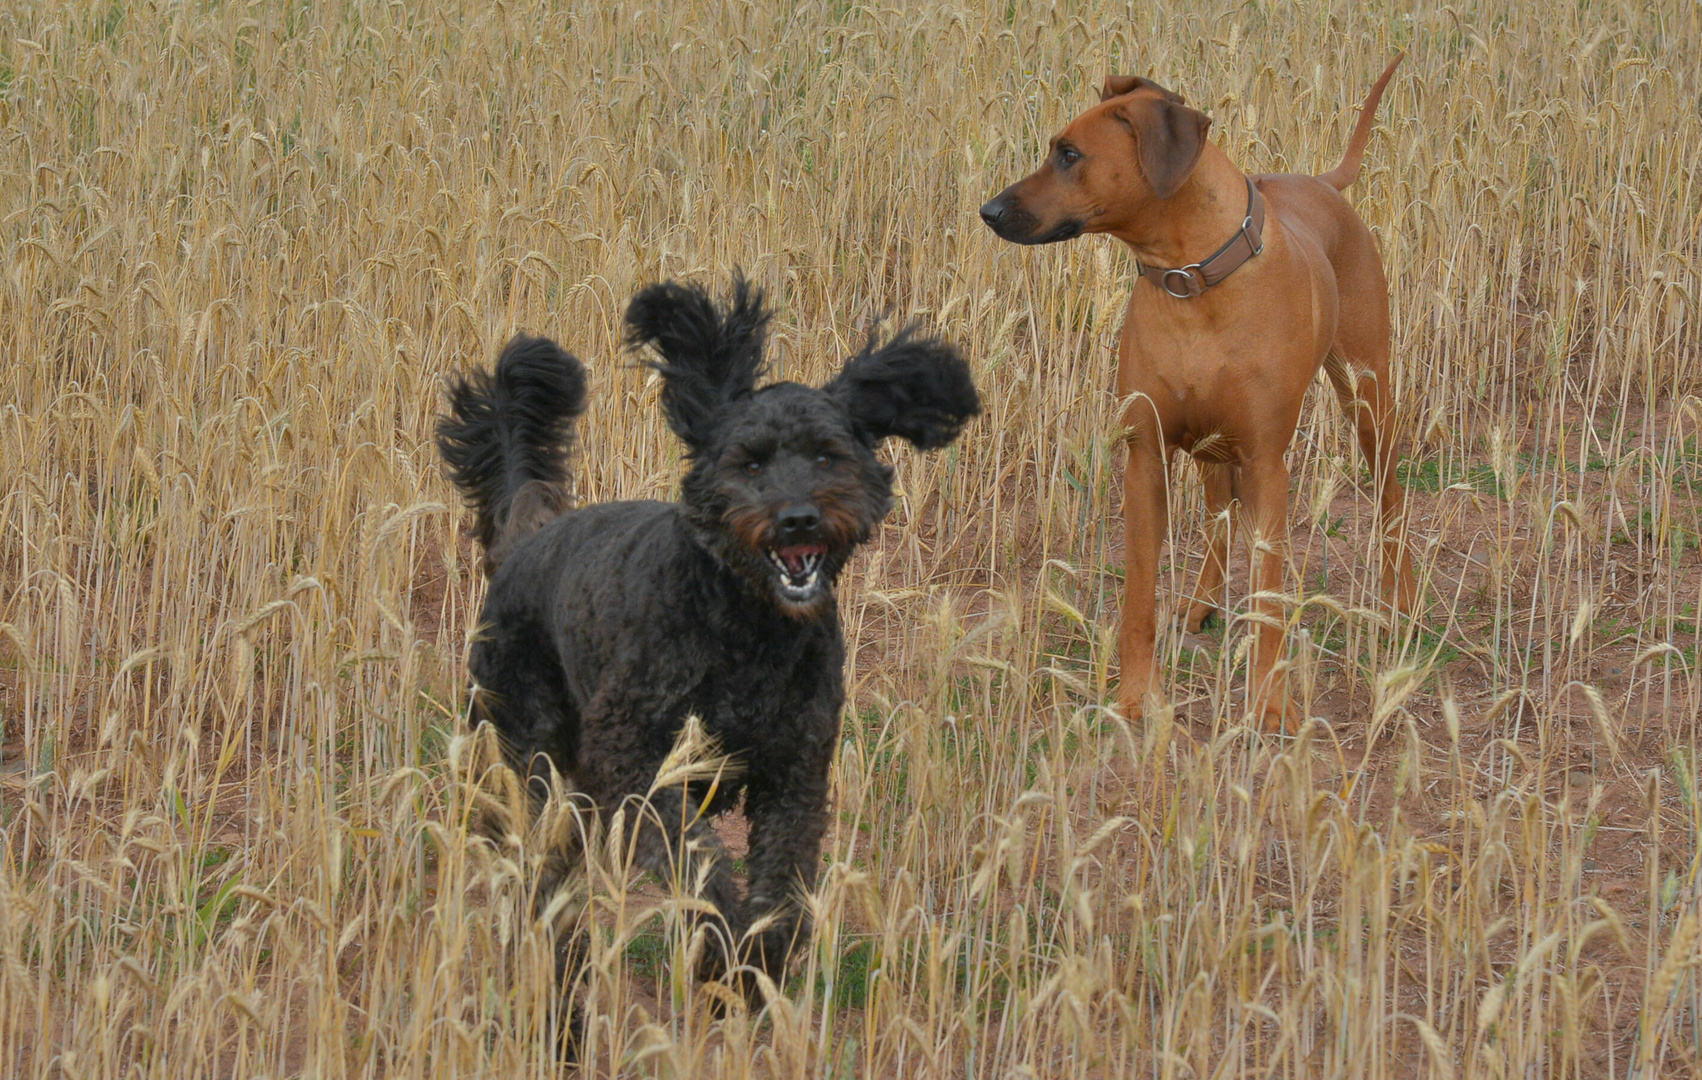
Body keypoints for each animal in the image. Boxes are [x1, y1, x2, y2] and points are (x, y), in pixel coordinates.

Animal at [432, 273, 980, 1006]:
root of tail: (526, 536)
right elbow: (699, 862)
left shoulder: (794, 768)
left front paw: (760, 959)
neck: (749, 630)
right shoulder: (636, 756)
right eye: (749, 464)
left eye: (826, 456)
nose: (797, 518)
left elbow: (782, 876)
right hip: (526, 747)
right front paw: (724, 941)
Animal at [980, 61, 1416, 734]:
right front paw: (1136, 697)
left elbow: (1267, 598)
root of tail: (1321, 182)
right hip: (1214, 443)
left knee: (1390, 494)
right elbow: (1138, 598)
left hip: (1368, 395)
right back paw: (1203, 599)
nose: (989, 210)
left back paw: (1401, 600)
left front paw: (1270, 704)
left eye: (1069, 154)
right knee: (1216, 512)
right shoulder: (1145, 456)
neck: (1192, 279)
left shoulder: (1267, 464)